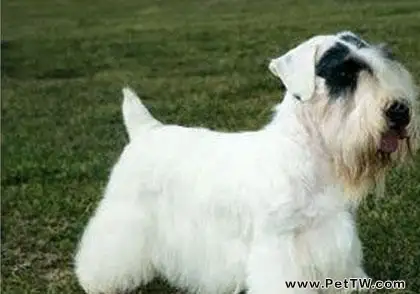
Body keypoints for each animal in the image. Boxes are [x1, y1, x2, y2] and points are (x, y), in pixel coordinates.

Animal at [74, 31, 418, 292]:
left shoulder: (330, 235)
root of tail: (145, 130)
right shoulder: (277, 245)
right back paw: (97, 281)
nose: (400, 111)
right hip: (125, 215)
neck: (306, 154)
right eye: (344, 73)